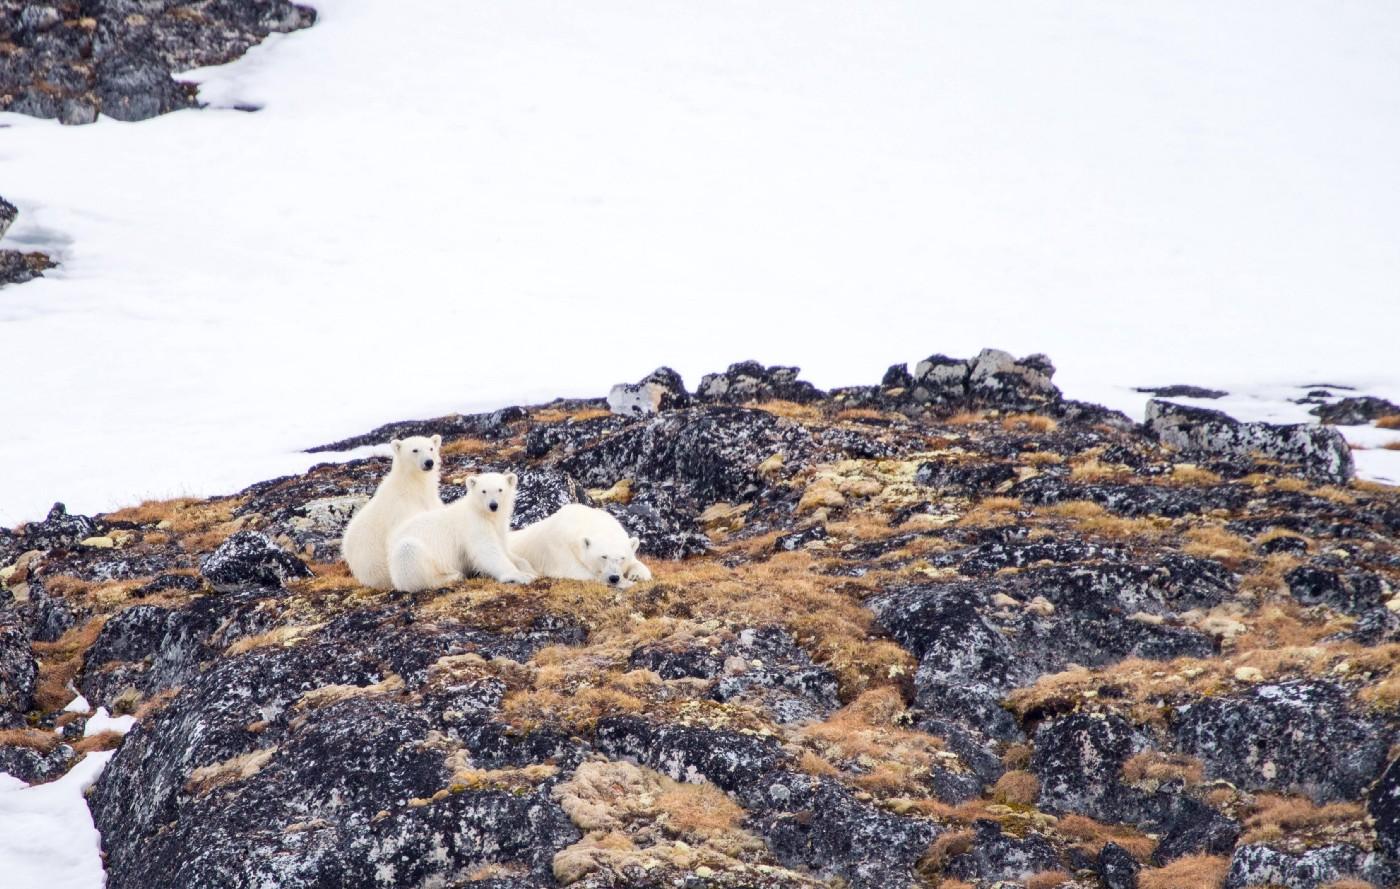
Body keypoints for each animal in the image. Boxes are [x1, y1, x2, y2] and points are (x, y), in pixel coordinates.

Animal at [341, 435, 443, 590]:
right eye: (415, 450)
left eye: (431, 448)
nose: (429, 462)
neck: (413, 487)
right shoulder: (400, 509)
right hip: (374, 566)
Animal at [387, 471, 536, 591]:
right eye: (483, 491)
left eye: (500, 489)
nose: (493, 505)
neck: (483, 513)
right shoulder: (474, 525)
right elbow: (488, 551)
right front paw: (521, 576)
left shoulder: (499, 527)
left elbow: (505, 550)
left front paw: (529, 569)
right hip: (405, 559)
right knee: (409, 553)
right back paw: (452, 576)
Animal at [508, 503, 652, 588]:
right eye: (603, 556)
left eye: (622, 558)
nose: (614, 577)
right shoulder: (558, 547)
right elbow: (574, 571)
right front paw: (626, 582)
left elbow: (636, 563)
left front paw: (637, 575)